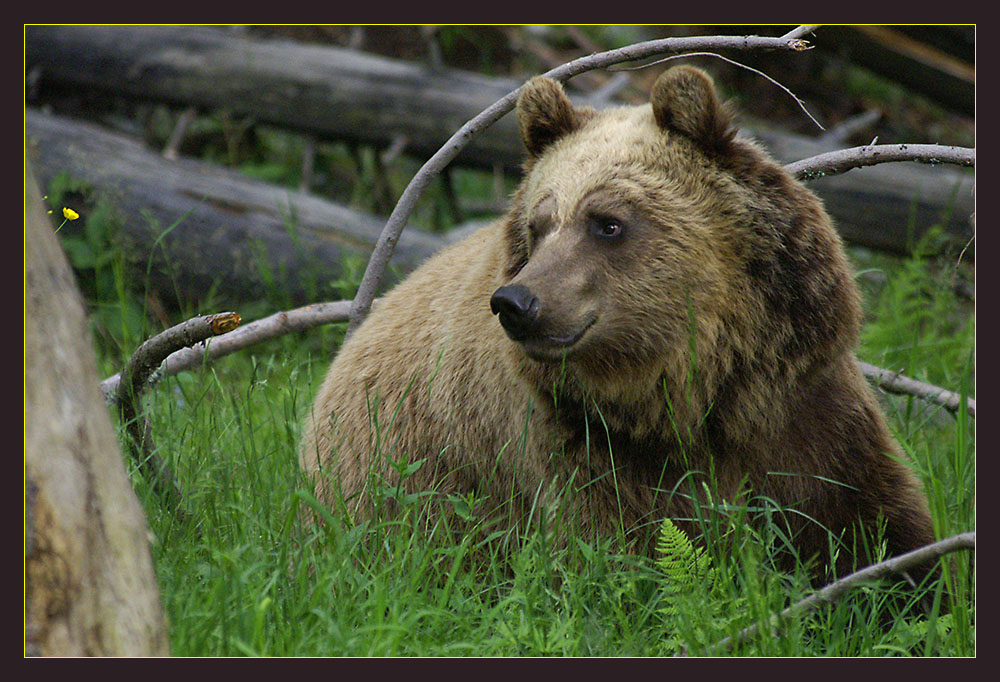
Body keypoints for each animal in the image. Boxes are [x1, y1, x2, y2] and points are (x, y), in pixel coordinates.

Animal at [300, 65, 940, 584]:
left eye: (606, 222)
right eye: (539, 225)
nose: (516, 302)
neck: (693, 394)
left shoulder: (800, 413)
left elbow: (872, 527)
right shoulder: (583, 453)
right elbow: (624, 561)